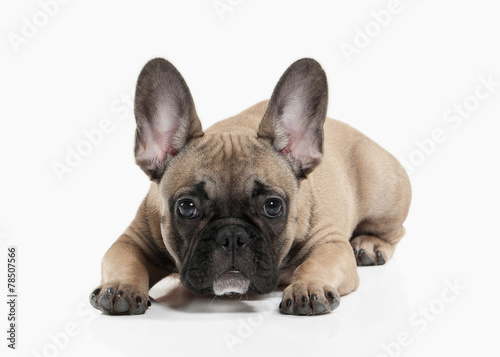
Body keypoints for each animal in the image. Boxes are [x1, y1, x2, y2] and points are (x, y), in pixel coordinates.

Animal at [90, 57, 410, 314]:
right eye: (187, 207)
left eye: (273, 206)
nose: (232, 236)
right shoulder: (132, 240)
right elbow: (125, 260)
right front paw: (121, 286)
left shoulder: (330, 243)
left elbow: (315, 264)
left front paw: (308, 287)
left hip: (383, 190)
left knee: (395, 231)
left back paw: (369, 244)